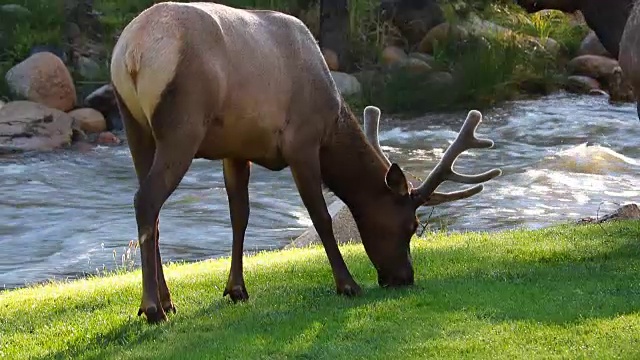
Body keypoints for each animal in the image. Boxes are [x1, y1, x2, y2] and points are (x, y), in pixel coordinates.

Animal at [109, 1, 500, 324]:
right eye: (412, 226)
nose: (403, 278)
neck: (332, 123)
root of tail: (132, 53)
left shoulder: (236, 148)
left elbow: (240, 216)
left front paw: (236, 289)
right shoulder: (302, 142)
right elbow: (321, 216)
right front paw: (347, 284)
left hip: (135, 125)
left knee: (153, 210)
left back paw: (167, 299)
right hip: (183, 125)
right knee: (146, 199)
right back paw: (152, 308)